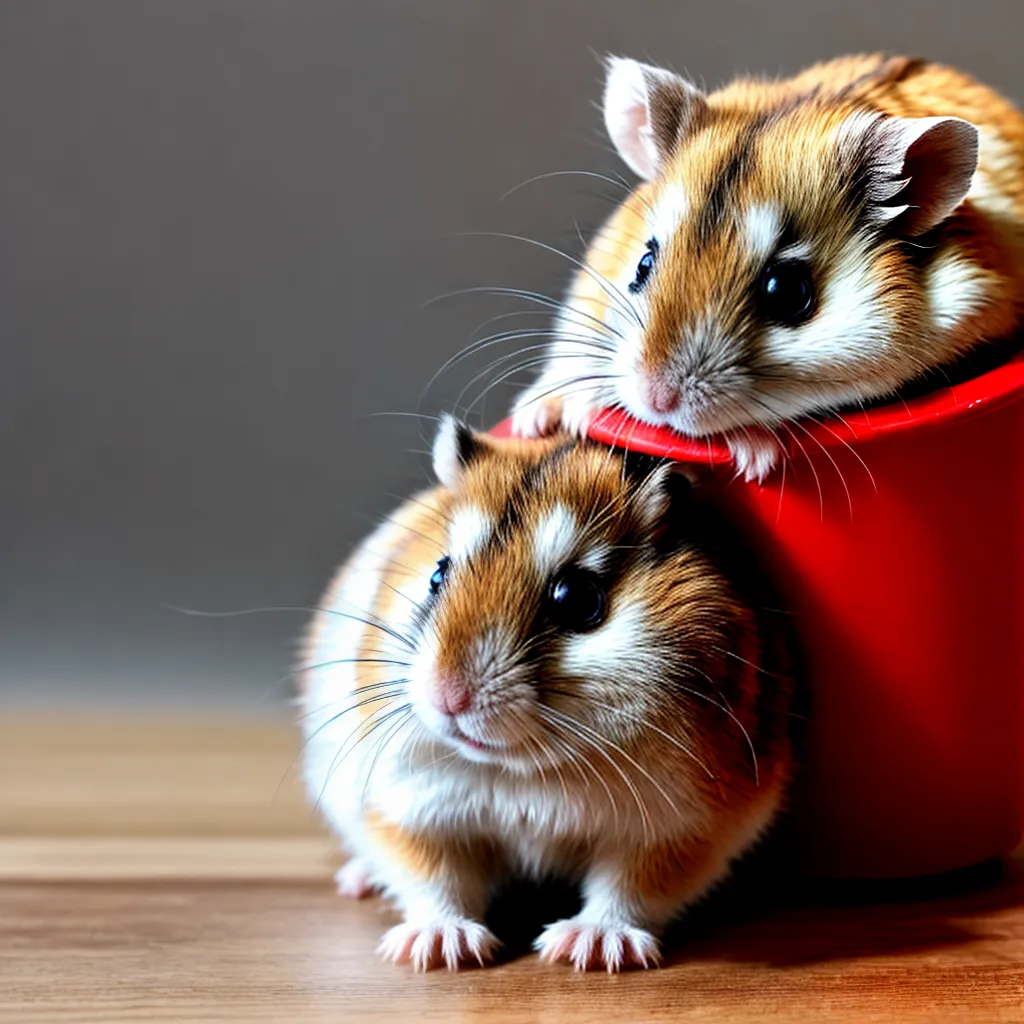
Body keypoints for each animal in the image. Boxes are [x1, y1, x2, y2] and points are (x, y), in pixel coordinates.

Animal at [299, 417, 794, 971]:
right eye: (438, 574)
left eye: (577, 598)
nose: (447, 697)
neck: (527, 770)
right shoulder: (409, 807)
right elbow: (435, 879)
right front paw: (442, 950)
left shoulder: (679, 827)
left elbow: (628, 889)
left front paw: (587, 950)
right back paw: (359, 883)